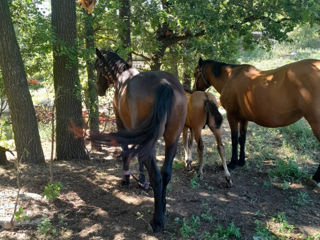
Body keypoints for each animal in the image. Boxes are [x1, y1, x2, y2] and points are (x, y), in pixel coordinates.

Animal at [92, 48, 188, 232]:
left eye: (97, 66)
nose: (98, 89)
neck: (122, 77)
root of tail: (165, 84)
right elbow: (140, 158)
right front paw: (142, 181)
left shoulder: (122, 125)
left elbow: (127, 152)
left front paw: (127, 179)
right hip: (172, 138)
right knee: (165, 173)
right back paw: (162, 207)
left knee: (157, 176)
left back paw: (157, 221)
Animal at [192, 58, 320, 188]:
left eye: (195, 73)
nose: (194, 91)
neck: (230, 77)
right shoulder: (244, 118)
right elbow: (242, 139)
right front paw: (241, 161)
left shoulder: (232, 116)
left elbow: (234, 139)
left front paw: (233, 163)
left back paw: (315, 179)